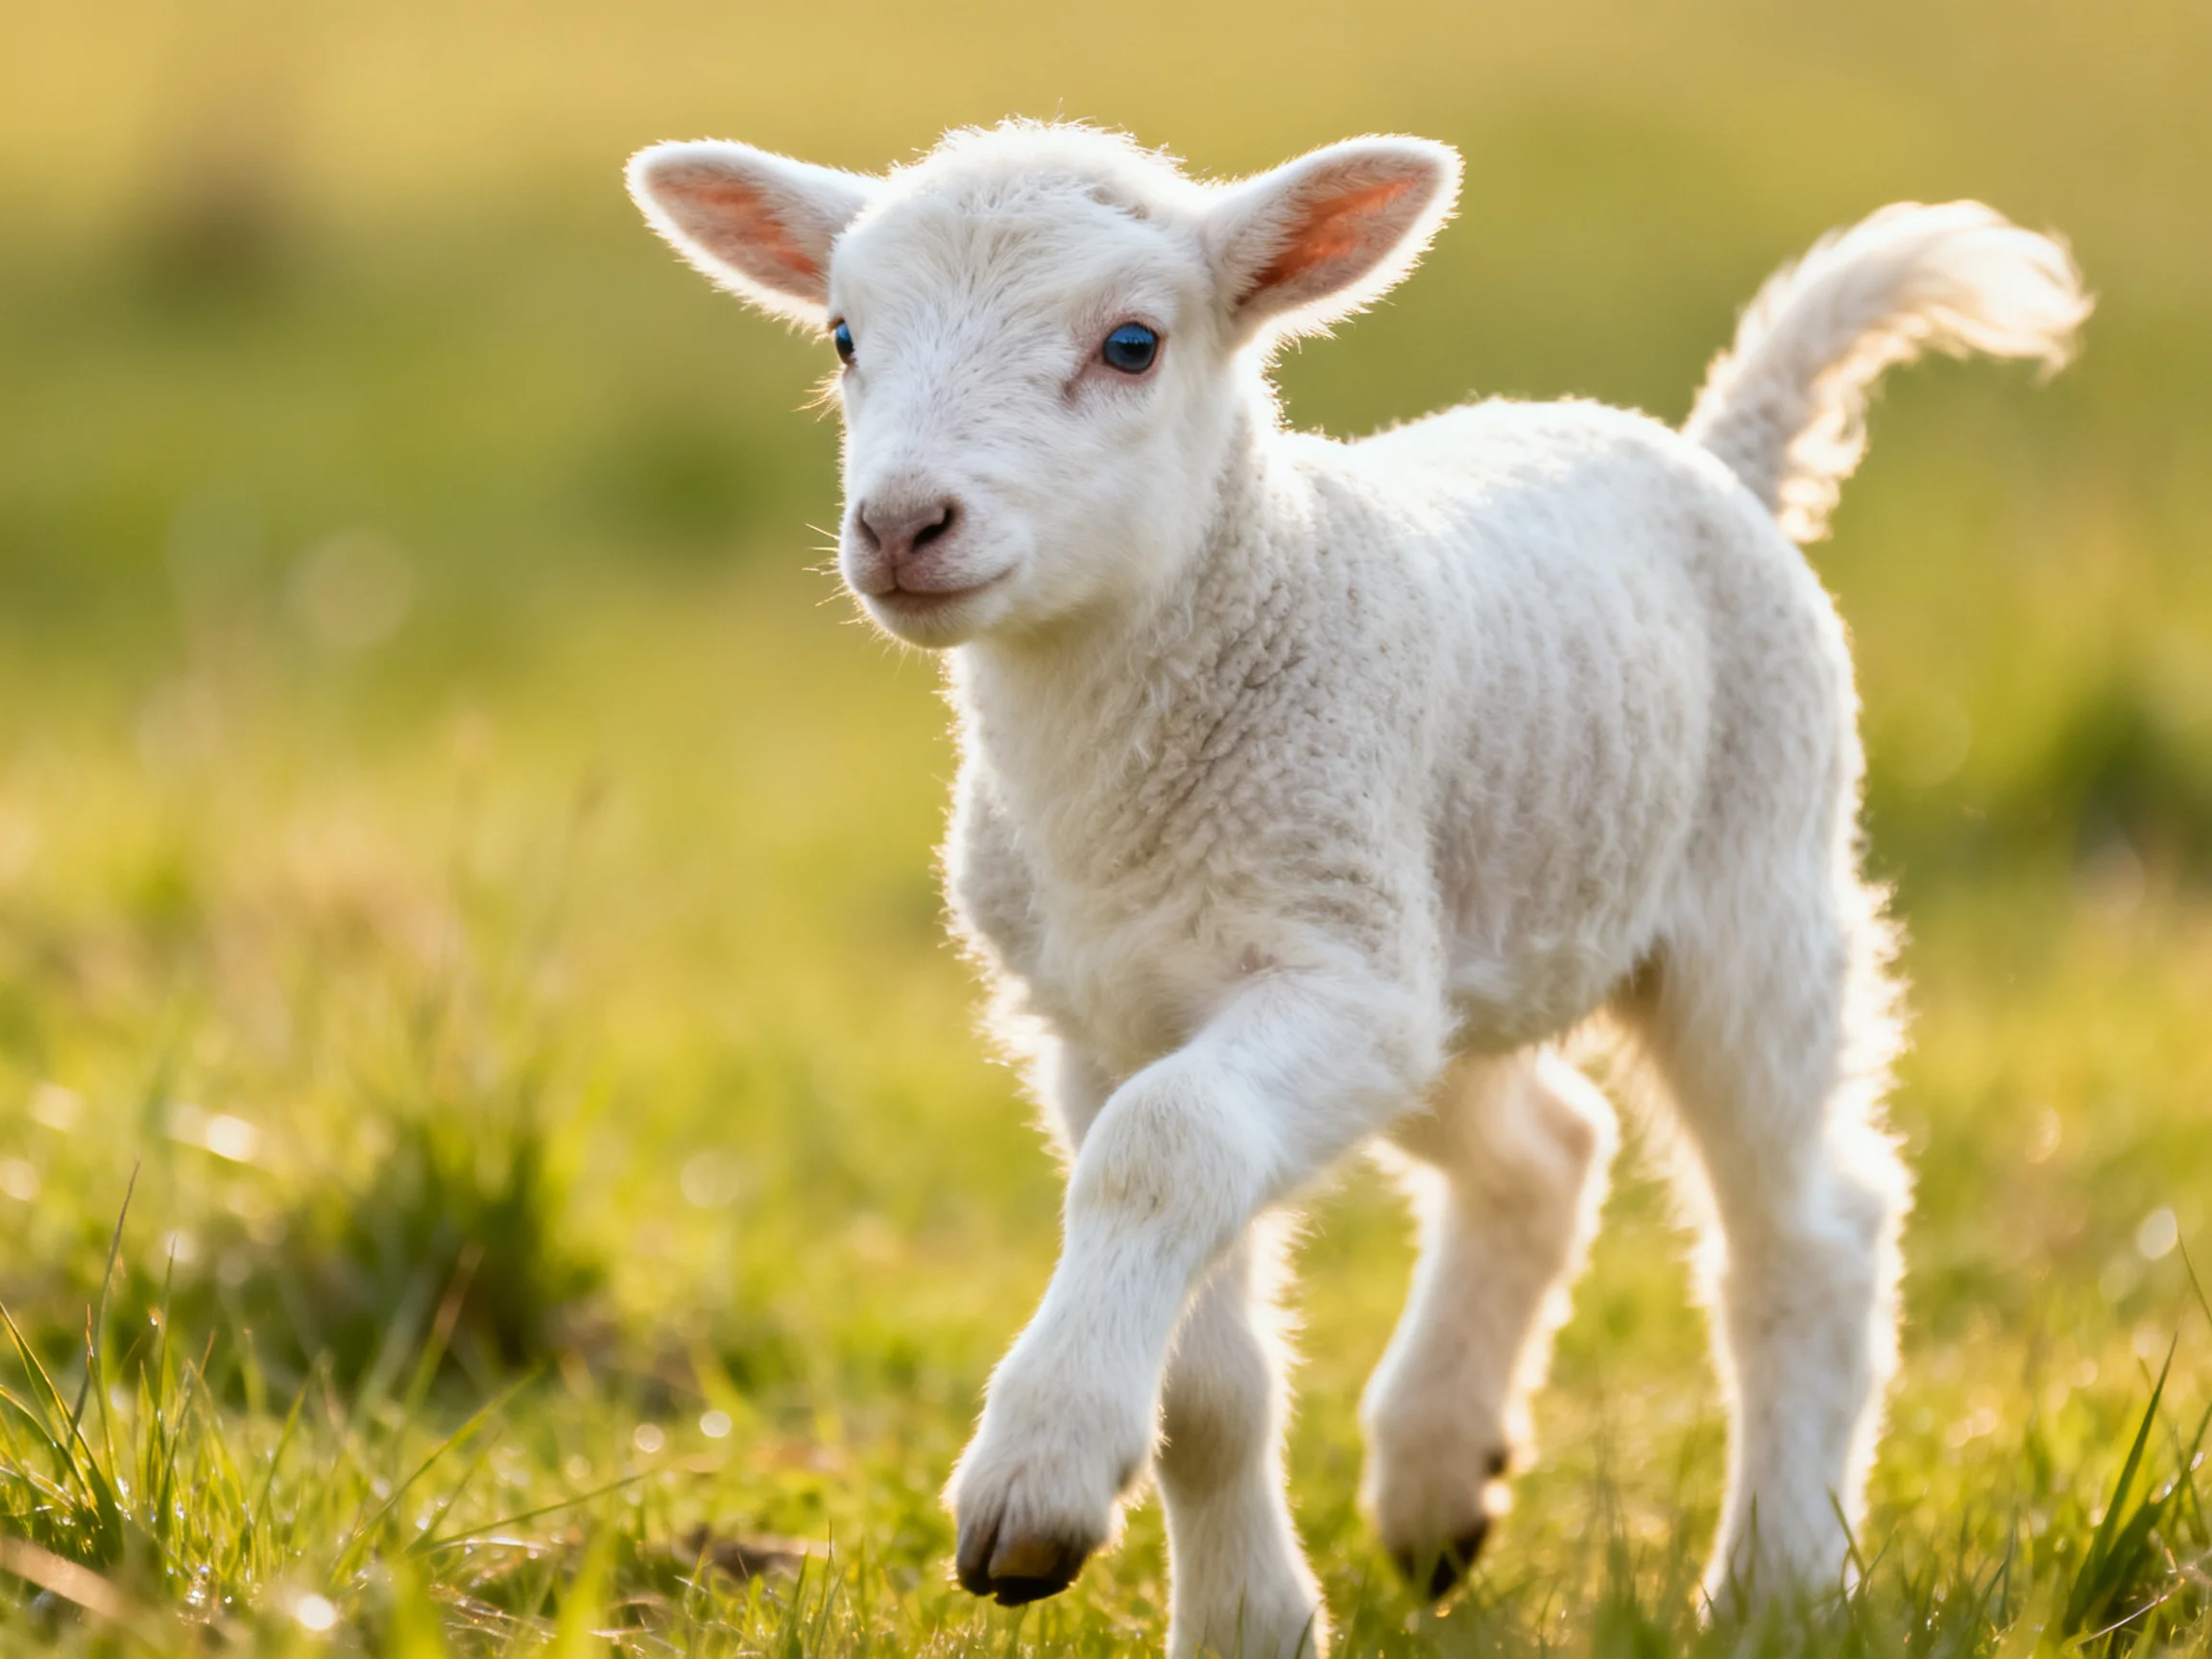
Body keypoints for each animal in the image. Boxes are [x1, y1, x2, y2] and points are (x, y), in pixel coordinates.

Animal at [627, 121, 2089, 1658]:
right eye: (845, 337)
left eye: (1133, 343)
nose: (903, 524)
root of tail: (1712, 456)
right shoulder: (1104, 1018)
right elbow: (1199, 1352)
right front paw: (1240, 1616)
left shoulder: (1330, 965)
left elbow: (1162, 1149)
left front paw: (1036, 1466)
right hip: (1459, 955)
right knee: (1550, 1147)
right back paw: (1441, 1483)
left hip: (1752, 892)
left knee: (1810, 1233)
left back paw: (1777, 1582)